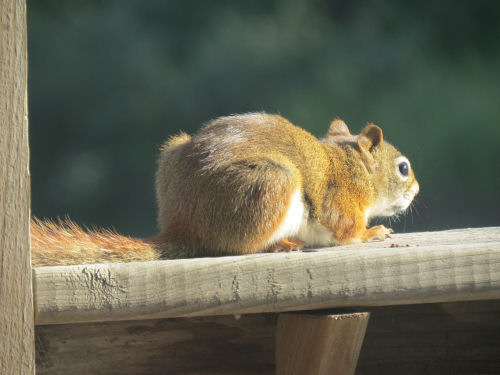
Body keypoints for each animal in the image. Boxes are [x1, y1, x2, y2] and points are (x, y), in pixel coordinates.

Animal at [30, 112, 418, 268]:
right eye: (403, 168)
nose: (416, 190)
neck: (351, 165)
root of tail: (184, 225)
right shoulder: (341, 199)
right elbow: (346, 229)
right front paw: (373, 232)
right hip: (270, 183)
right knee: (243, 245)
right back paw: (281, 243)